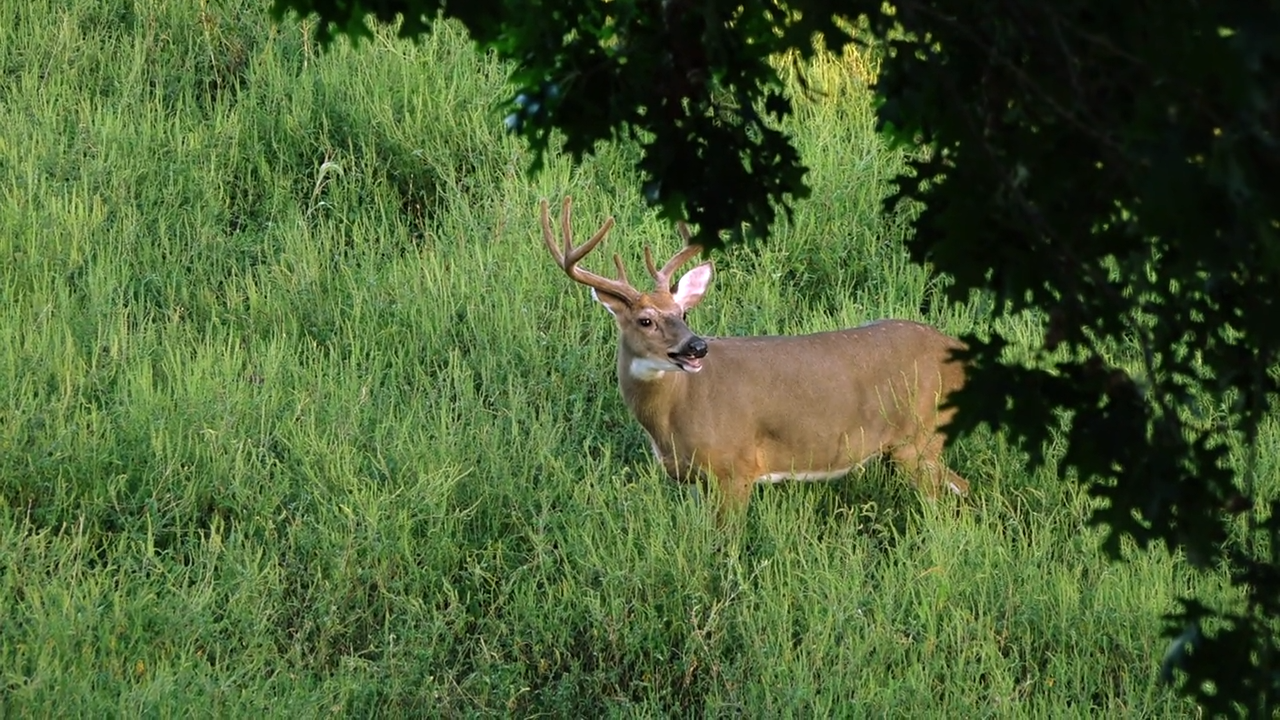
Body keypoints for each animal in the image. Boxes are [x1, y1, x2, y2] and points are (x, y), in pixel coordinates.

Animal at [539, 195, 971, 515]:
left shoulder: (735, 467)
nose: (697, 346)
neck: (672, 416)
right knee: (960, 486)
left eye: (682, 313)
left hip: (921, 435)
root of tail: (958, 350)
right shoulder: (697, 481)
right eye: (646, 320)